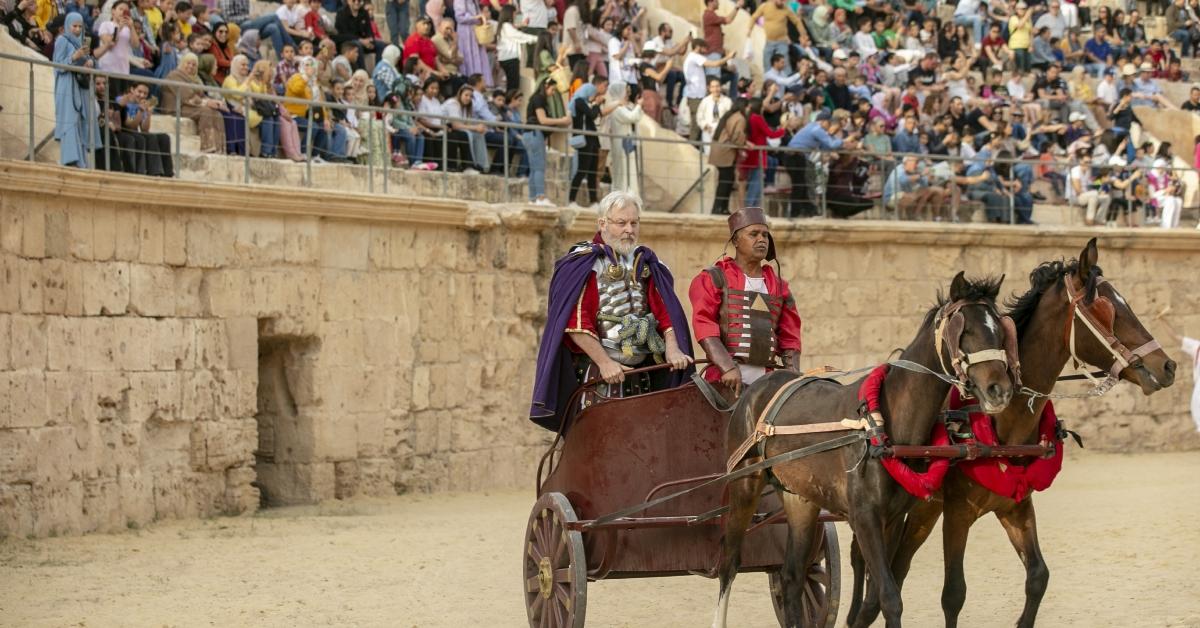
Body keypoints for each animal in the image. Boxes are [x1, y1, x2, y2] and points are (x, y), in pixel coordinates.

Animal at [710, 271, 1022, 628]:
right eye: (964, 330)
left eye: (1000, 331)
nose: (999, 390)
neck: (883, 422)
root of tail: (756, 388)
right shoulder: (864, 517)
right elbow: (889, 597)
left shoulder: (893, 519)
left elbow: (877, 599)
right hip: (745, 485)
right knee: (729, 564)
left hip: (800, 498)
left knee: (792, 576)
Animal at [849, 237, 1176, 628]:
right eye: (1104, 309)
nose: (1168, 365)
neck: (1001, 423)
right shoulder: (956, 512)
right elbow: (953, 593)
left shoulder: (1016, 507)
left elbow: (1038, 577)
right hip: (920, 511)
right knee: (882, 573)